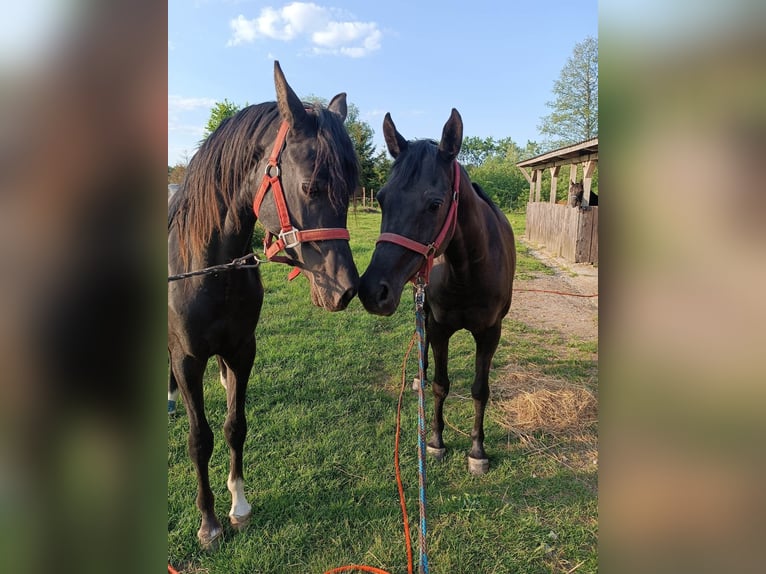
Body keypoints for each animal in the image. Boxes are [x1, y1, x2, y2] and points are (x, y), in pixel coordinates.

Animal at [168, 60, 360, 552]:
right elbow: (200, 439)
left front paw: (238, 506)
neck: (210, 268)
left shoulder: (242, 351)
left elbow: (235, 425)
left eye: (350, 189)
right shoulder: (187, 358)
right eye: (311, 186)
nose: (347, 290)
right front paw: (209, 523)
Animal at [360, 110, 516, 474]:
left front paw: (477, 451)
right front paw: (434, 441)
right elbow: (440, 385)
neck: (469, 273)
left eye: (435, 204)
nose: (372, 291)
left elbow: (480, 390)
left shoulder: (490, 333)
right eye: (381, 198)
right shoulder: (441, 327)